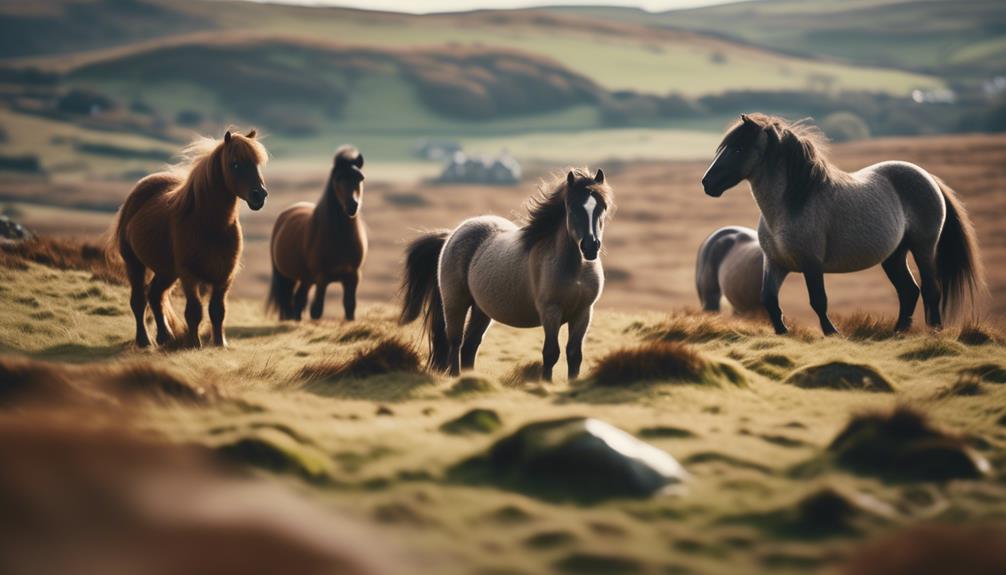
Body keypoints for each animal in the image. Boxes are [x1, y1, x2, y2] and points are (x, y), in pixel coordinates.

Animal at [267, 145, 366, 321]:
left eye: (360, 178)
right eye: (338, 178)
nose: (352, 205)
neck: (340, 237)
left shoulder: (353, 276)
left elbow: (350, 307)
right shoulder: (322, 278)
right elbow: (316, 311)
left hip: (306, 279)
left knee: (298, 300)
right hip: (286, 277)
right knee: (288, 302)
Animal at [400, 166, 611, 381]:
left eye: (602, 208)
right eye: (573, 208)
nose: (591, 247)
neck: (575, 269)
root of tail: (452, 234)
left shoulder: (583, 313)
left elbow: (574, 355)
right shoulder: (550, 312)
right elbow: (551, 353)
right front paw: (546, 383)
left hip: (481, 310)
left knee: (469, 346)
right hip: (455, 302)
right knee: (455, 341)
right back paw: (455, 375)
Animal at [700, 114, 981, 333]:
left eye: (738, 149)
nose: (707, 183)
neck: (792, 203)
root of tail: (928, 177)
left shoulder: (811, 264)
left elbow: (818, 301)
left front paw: (832, 333)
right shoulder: (775, 263)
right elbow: (769, 299)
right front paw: (783, 332)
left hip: (924, 247)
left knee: (931, 290)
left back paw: (934, 331)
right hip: (894, 255)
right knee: (909, 291)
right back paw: (899, 331)